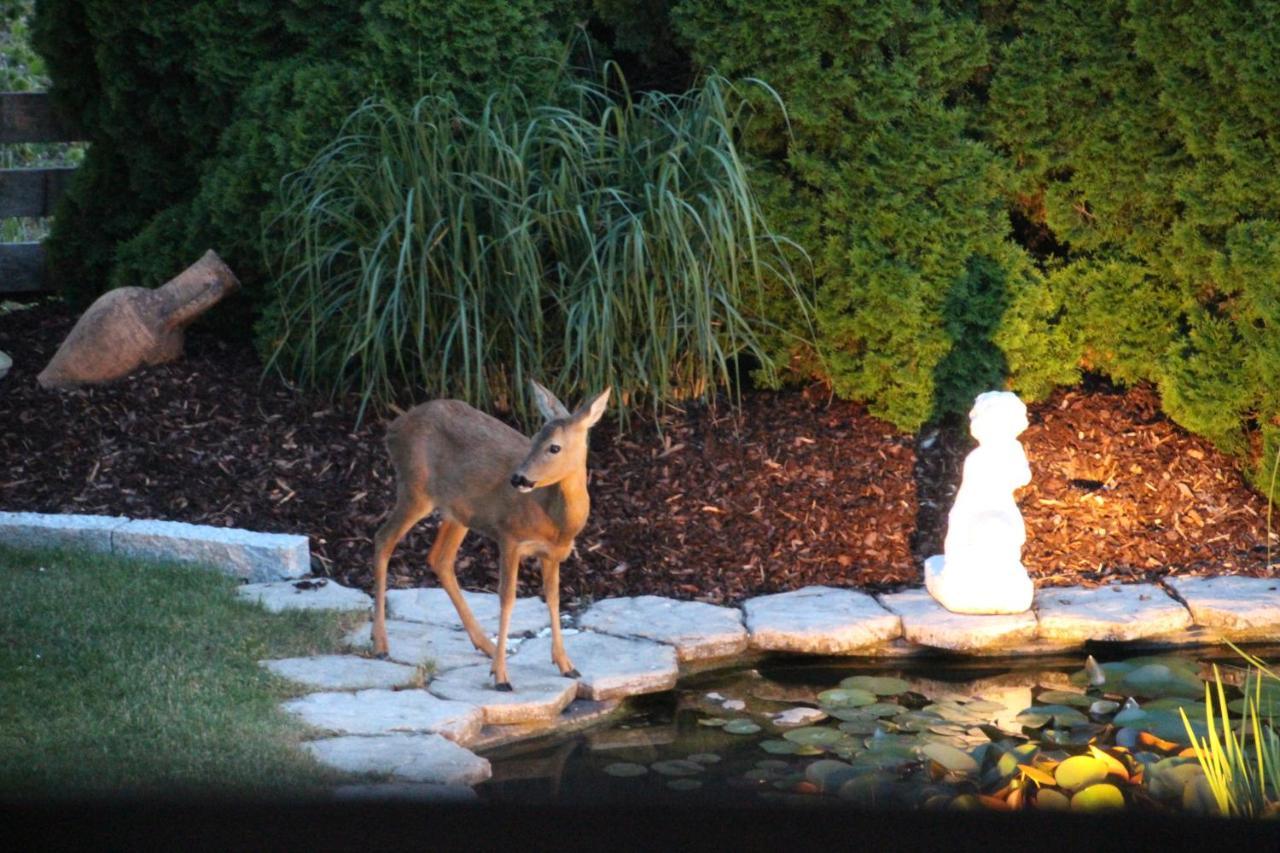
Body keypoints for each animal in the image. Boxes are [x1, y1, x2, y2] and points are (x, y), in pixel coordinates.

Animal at [371, 381, 609, 686]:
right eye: (533, 438)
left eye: (554, 447)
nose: (518, 478)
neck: (555, 520)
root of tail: (393, 429)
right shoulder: (509, 537)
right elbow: (507, 598)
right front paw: (501, 677)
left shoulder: (553, 553)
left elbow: (554, 598)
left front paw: (566, 665)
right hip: (416, 490)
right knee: (383, 540)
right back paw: (380, 643)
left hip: (458, 511)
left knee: (439, 558)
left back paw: (485, 644)